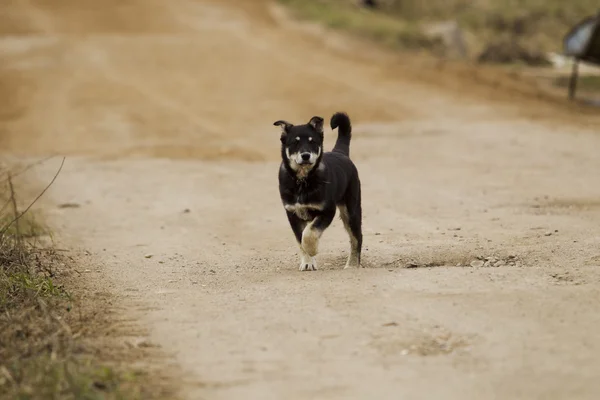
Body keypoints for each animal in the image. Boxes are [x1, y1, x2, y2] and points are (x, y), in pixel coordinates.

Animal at [274, 111, 364, 270]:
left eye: (312, 142)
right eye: (295, 142)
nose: (305, 155)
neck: (303, 180)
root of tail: (341, 153)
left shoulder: (327, 210)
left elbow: (310, 232)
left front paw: (312, 249)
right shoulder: (292, 213)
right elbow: (300, 238)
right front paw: (308, 262)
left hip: (351, 210)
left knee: (356, 237)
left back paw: (352, 265)